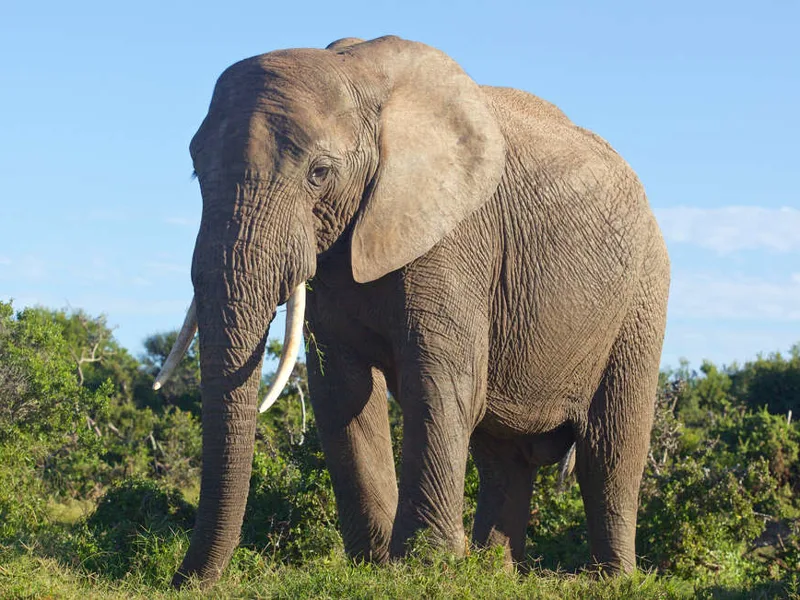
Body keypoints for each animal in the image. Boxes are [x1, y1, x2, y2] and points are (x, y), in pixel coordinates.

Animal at [155, 35, 670, 588]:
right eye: (196, 170)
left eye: (319, 173)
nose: (181, 581)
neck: (361, 76)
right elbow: (342, 392)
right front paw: (375, 564)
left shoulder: (456, 236)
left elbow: (438, 382)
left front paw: (424, 567)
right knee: (503, 455)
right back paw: (494, 574)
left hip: (643, 296)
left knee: (611, 447)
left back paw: (611, 580)